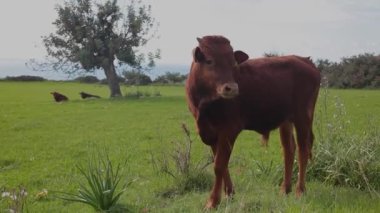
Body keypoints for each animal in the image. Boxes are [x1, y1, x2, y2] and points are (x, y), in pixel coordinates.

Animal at [186, 35, 320, 209]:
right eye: (209, 61)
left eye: (233, 63)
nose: (232, 88)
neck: (205, 103)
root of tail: (304, 60)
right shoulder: (210, 131)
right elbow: (221, 163)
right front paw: (229, 193)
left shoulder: (229, 129)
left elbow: (219, 165)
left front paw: (213, 201)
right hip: (286, 120)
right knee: (289, 149)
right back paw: (285, 189)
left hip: (303, 116)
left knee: (303, 149)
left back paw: (300, 190)